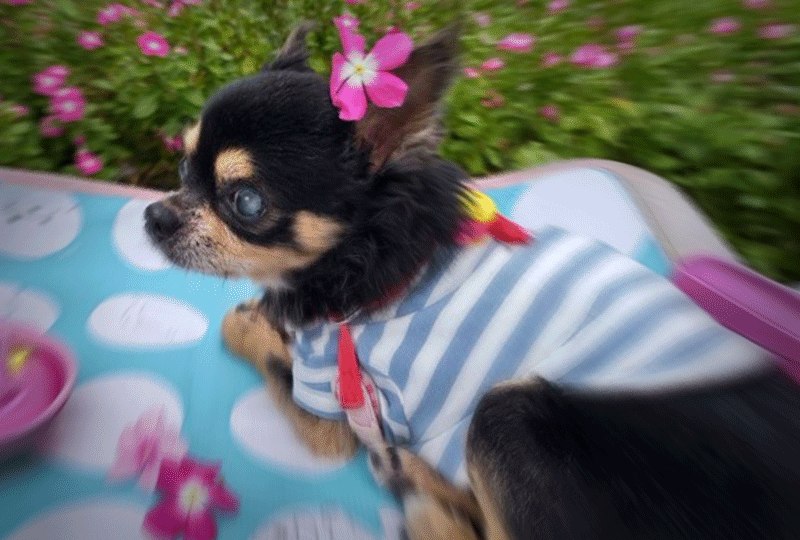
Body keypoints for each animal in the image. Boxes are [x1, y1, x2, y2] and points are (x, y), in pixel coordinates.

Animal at [144, 23, 800, 540]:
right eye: (182, 165)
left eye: (246, 202)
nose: (153, 216)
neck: (368, 252)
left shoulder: (331, 402)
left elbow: (258, 345)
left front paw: (252, 322)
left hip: (507, 416)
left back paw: (427, 501)